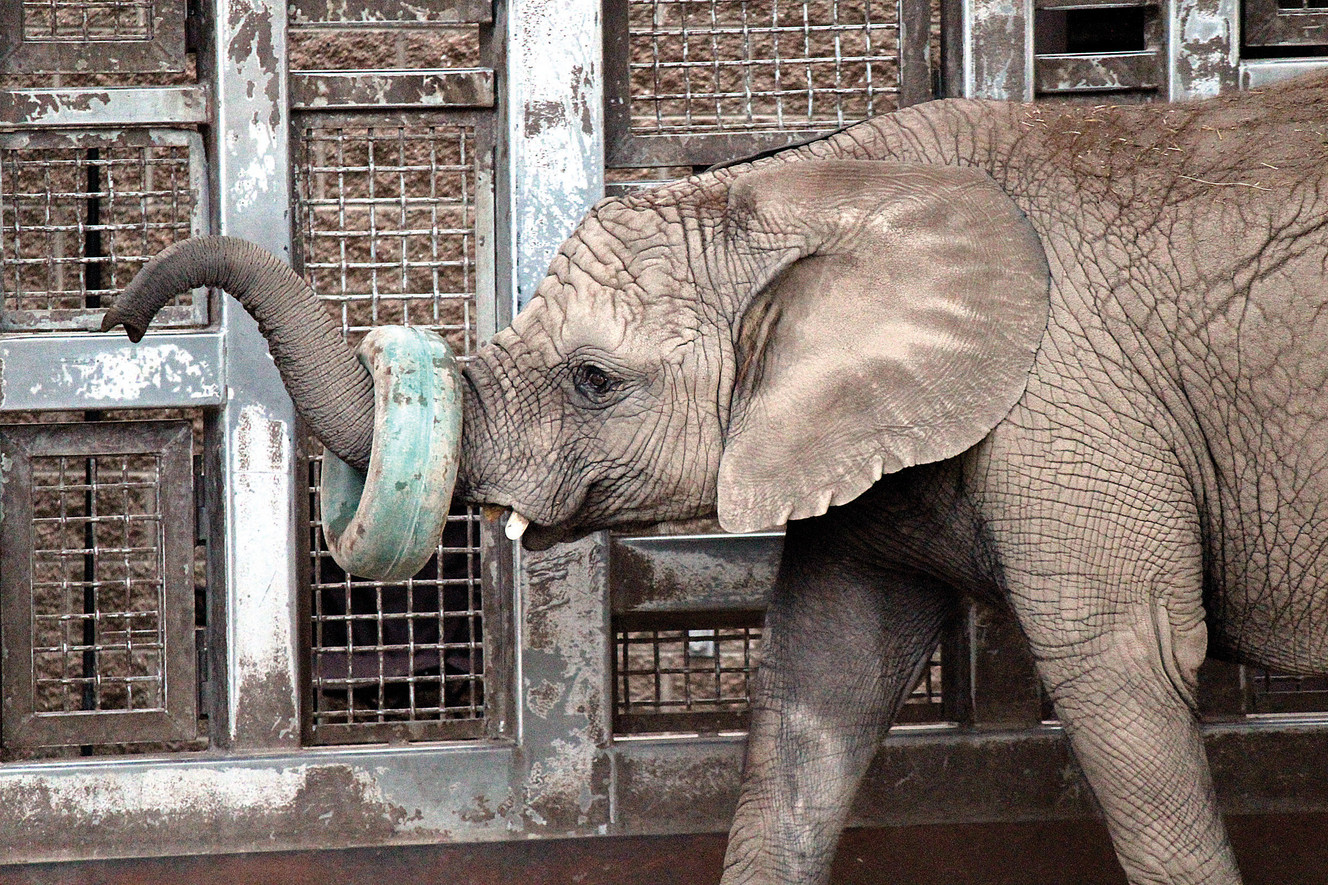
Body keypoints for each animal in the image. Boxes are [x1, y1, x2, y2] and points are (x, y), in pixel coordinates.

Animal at [102, 71, 1328, 885]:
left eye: (595, 379)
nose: (122, 320)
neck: (825, 183)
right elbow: (819, 675)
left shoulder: (1076, 412)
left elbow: (1121, 670)